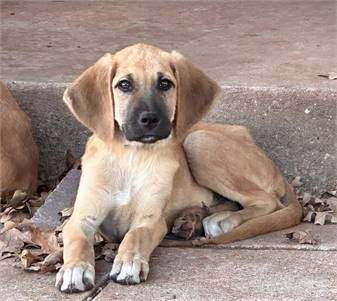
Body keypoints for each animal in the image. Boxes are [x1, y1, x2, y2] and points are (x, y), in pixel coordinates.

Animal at [55, 43, 302, 292]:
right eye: (124, 84)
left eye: (165, 83)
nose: (150, 119)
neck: (132, 156)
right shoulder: (82, 217)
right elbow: (77, 241)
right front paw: (74, 269)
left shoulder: (151, 219)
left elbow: (136, 235)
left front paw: (129, 262)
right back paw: (192, 218)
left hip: (198, 141)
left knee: (267, 201)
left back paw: (220, 220)